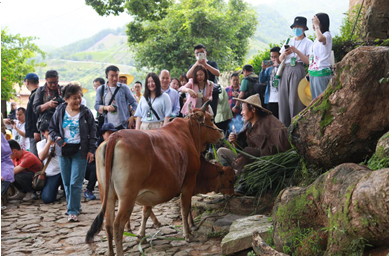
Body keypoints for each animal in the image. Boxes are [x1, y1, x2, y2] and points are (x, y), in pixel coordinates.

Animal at [86, 102, 223, 256]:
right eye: (211, 119)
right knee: (117, 224)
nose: (221, 131)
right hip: (127, 196)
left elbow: (145, 211)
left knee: (108, 224)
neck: (189, 133)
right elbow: (185, 208)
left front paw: (141, 235)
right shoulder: (189, 181)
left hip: (107, 194)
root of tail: (115, 136)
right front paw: (187, 234)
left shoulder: (148, 191)